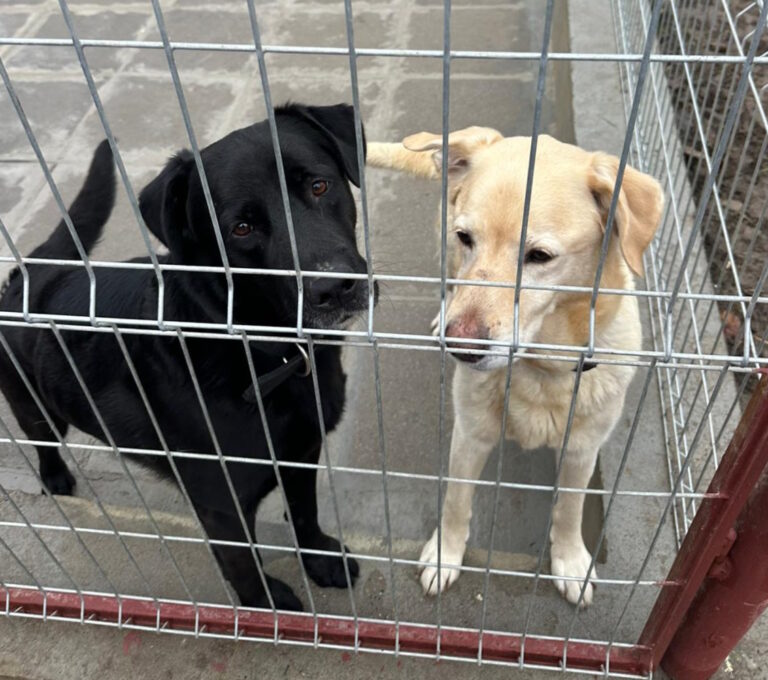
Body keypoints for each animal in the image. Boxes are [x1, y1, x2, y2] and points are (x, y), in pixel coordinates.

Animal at [0, 103, 375, 611]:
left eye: (319, 186)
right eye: (241, 228)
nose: (333, 288)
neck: (258, 353)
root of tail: (32, 272)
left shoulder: (302, 454)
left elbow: (305, 514)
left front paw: (320, 560)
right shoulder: (222, 505)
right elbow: (243, 566)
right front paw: (266, 608)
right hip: (35, 405)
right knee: (43, 441)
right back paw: (55, 477)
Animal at [367, 127, 663, 605]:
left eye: (539, 256)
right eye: (467, 237)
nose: (461, 348)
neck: (540, 368)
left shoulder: (583, 449)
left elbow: (570, 509)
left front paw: (571, 560)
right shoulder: (469, 436)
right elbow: (456, 501)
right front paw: (445, 556)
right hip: (442, 248)